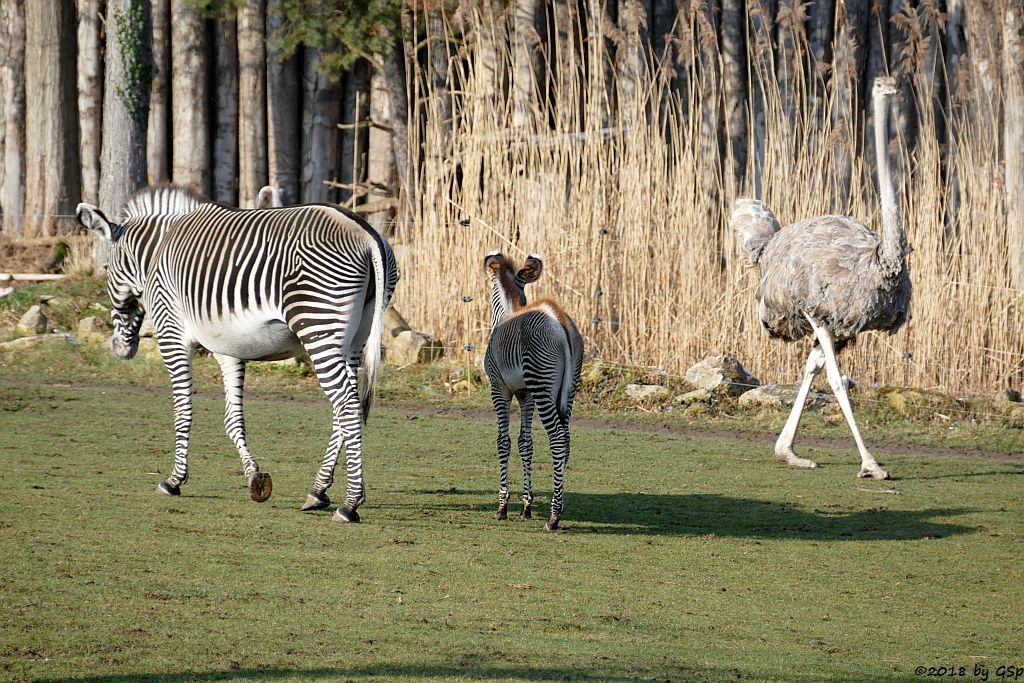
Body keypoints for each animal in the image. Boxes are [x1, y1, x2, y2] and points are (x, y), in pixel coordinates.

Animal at [74, 185, 395, 524]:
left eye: (106, 269)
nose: (119, 348)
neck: (156, 252)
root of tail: (366, 233)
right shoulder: (227, 347)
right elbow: (233, 418)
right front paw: (254, 477)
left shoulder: (171, 332)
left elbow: (183, 411)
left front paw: (173, 481)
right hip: (354, 340)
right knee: (345, 408)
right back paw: (318, 491)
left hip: (317, 324)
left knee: (346, 405)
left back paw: (350, 504)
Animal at [481, 253, 581, 532]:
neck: (508, 312)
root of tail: (558, 320)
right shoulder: (526, 394)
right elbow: (526, 443)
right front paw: (526, 506)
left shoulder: (499, 389)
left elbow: (503, 441)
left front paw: (502, 506)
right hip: (566, 390)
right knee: (566, 439)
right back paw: (560, 506)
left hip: (542, 385)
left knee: (557, 437)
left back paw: (554, 517)